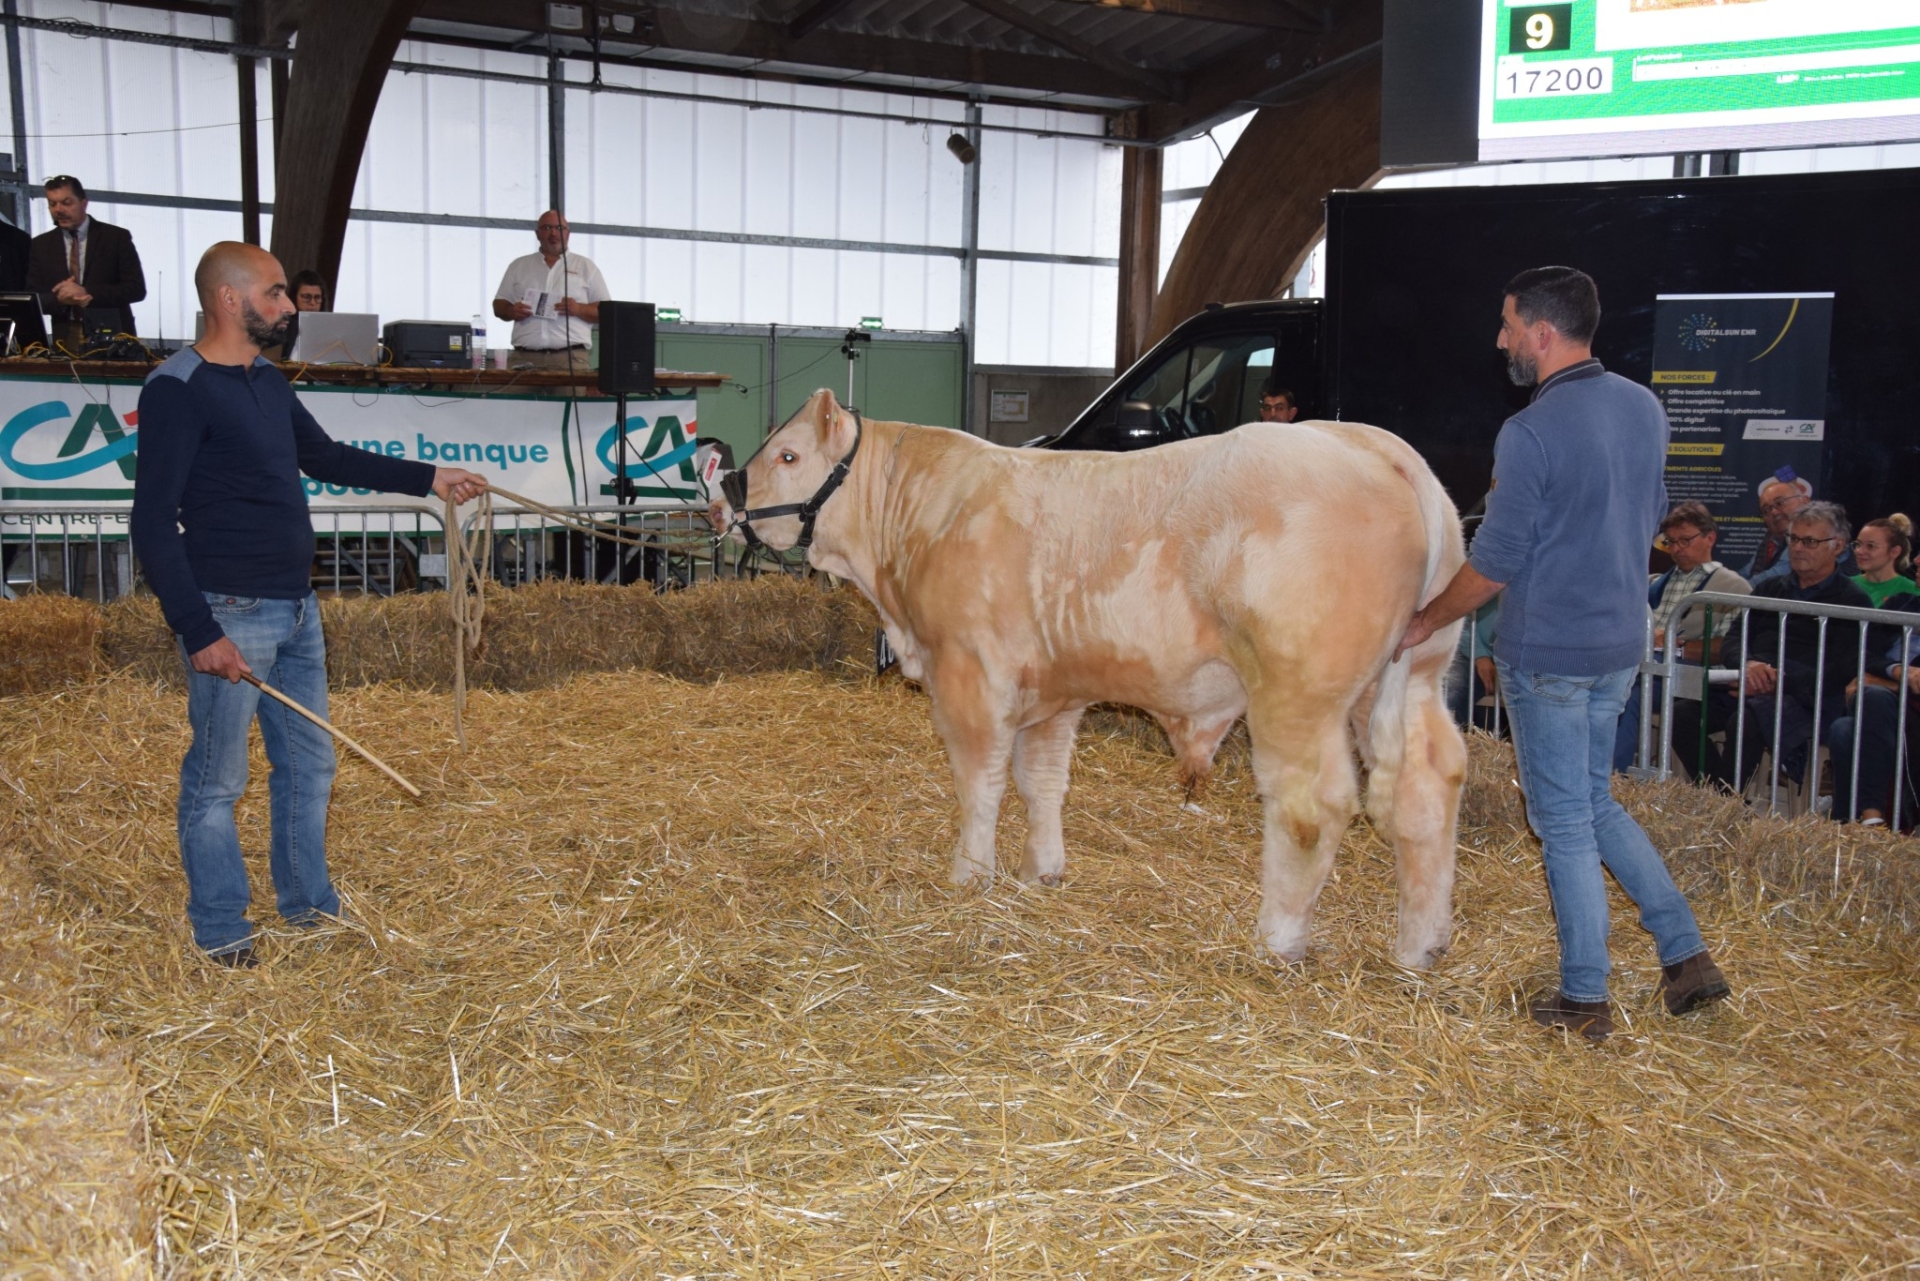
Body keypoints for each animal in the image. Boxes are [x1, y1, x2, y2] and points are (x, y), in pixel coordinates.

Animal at [710, 391, 1466, 971]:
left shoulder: (970, 675)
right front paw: (1041, 870)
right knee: (1426, 783)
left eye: (788, 455)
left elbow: (979, 782)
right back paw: (1420, 945)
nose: (719, 501)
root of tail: (1373, 444)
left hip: (1299, 693)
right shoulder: (1052, 694)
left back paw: (1279, 938)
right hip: (1412, 674)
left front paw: (969, 874)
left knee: (1314, 805)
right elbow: (1040, 781)